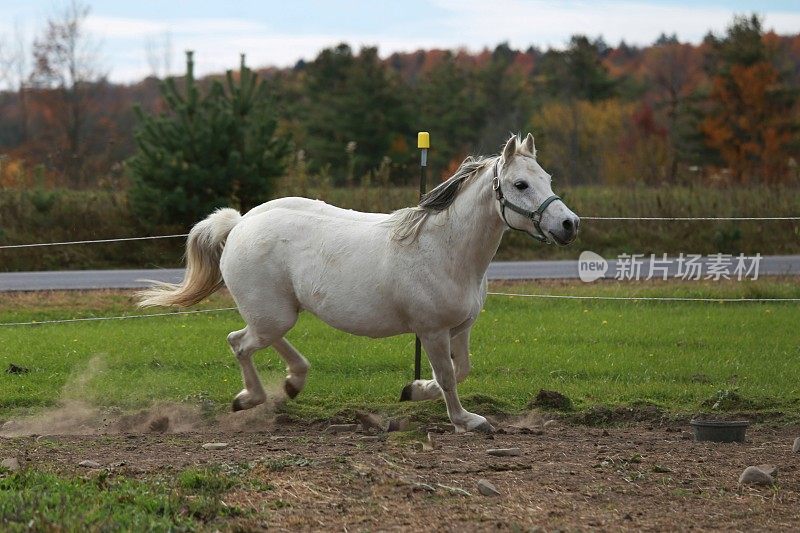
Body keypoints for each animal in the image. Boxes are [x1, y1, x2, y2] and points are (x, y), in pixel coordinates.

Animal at [141, 133, 580, 432]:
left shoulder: (460, 328)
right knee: (240, 342)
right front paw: (465, 420)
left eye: (547, 177)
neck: (445, 249)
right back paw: (251, 398)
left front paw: (413, 390)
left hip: (278, 312)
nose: (569, 224)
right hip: (272, 313)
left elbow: (462, 369)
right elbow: (448, 377)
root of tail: (238, 225)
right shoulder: (432, 331)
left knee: (257, 339)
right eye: (521, 184)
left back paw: (292, 384)